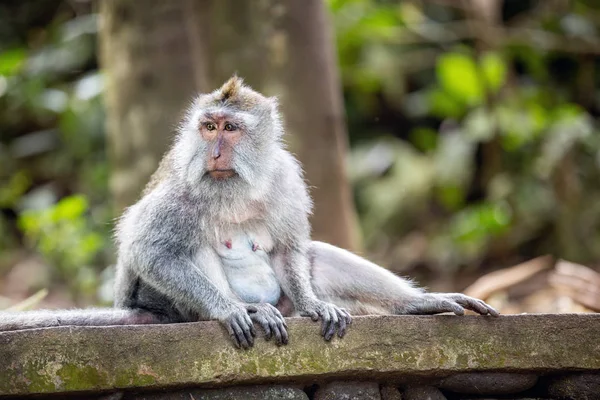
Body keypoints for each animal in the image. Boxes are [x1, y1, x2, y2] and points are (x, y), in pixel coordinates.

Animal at [0, 77, 496, 346]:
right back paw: (245, 311)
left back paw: (420, 304)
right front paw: (229, 311)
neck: (234, 184)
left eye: (231, 128)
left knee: (315, 255)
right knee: (188, 249)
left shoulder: (286, 177)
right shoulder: (180, 191)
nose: (215, 151)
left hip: (284, 302)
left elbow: (291, 247)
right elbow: (148, 250)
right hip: (167, 304)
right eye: (208, 126)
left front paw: (316, 305)